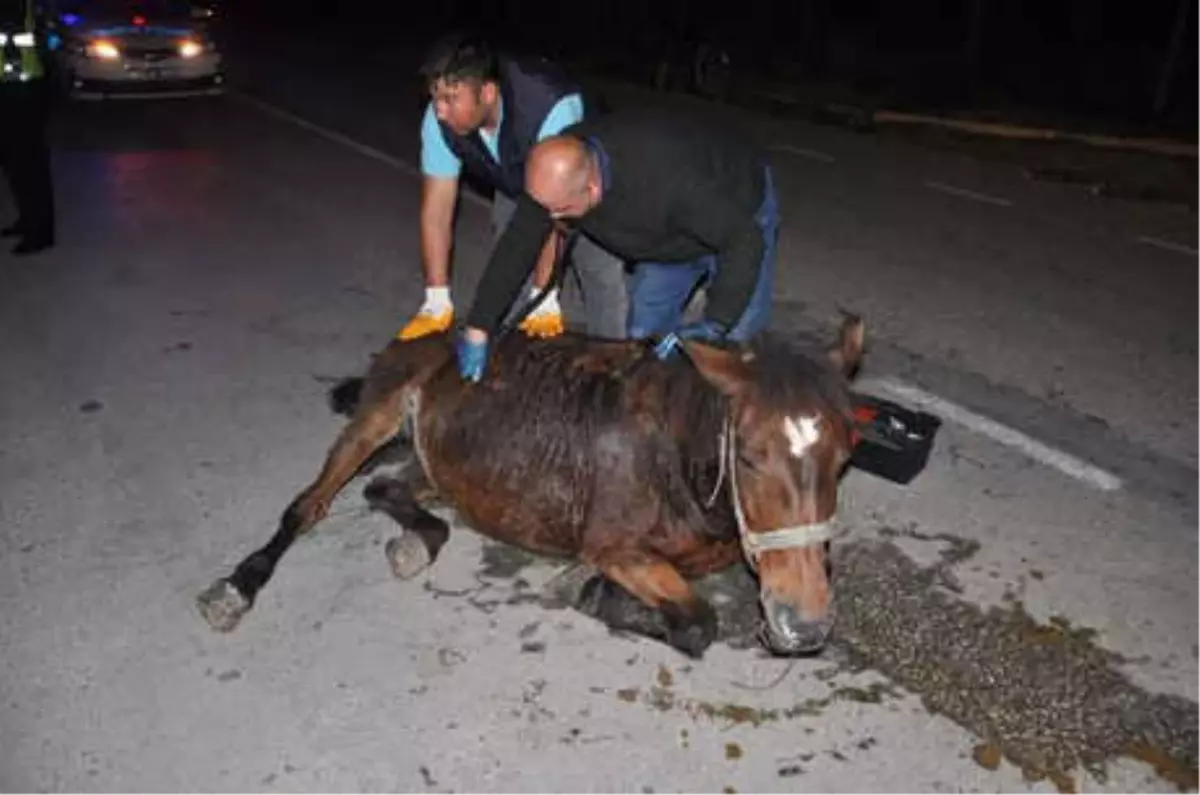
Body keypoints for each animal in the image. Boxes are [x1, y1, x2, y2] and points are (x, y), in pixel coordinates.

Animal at [201, 317, 868, 658]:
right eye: (751, 456)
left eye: (844, 458)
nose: (805, 626)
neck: (677, 453)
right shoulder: (615, 548)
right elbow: (698, 625)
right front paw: (593, 594)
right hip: (377, 414)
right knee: (309, 505)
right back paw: (237, 586)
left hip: (442, 461)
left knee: (390, 488)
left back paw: (416, 540)